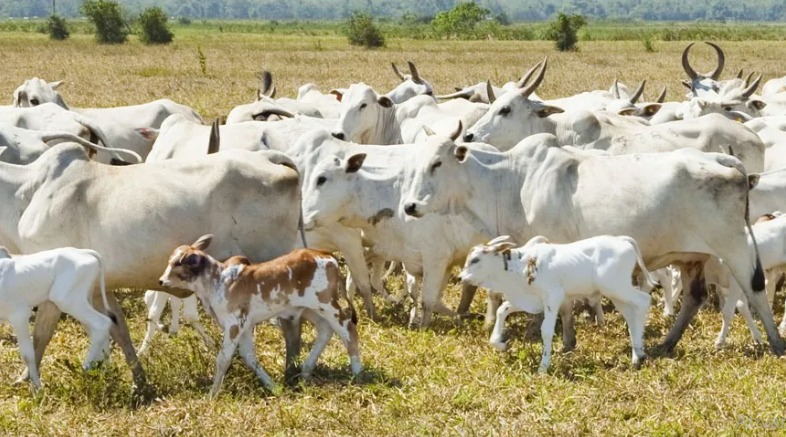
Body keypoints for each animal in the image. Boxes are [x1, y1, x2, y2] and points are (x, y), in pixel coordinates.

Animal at [0, 247, 116, 390]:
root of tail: (84, 252)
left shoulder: (19, 315)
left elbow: (28, 354)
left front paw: (37, 387)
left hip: (66, 300)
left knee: (102, 323)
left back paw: (86, 368)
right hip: (82, 300)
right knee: (97, 330)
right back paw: (104, 370)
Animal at [159, 235, 362, 398]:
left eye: (177, 263)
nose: (161, 281)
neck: (217, 282)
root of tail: (325, 255)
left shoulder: (234, 325)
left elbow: (223, 359)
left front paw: (212, 394)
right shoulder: (246, 327)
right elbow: (249, 357)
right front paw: (273, 386)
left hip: (326, 305)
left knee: (347, 329)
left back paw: (358, 372)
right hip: (310, 309)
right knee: (326, 329)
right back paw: (305, 371)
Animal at [402, 133, 780, 354]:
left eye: (437, 163)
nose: (409, 206)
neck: (511, 181)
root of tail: (724, 160)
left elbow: (561, 303)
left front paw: (560, 340)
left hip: (733, 245)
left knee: (755, 289)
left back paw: (777, 343)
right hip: (692, 257)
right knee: (694, 297)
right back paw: (665, 344)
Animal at [456, 235, 652, 372]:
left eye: (475, 260)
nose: (460, 277)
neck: (522, 265)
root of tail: (623, 240)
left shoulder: (553, 297)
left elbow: (546, 330)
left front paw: (543, 366)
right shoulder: (530, 299)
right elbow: (502, 310)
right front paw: (501, 343)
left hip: (616, 287)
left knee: (643, 301)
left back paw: (637, 356)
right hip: (617, 294)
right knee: (631, 314)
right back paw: (638, 352)